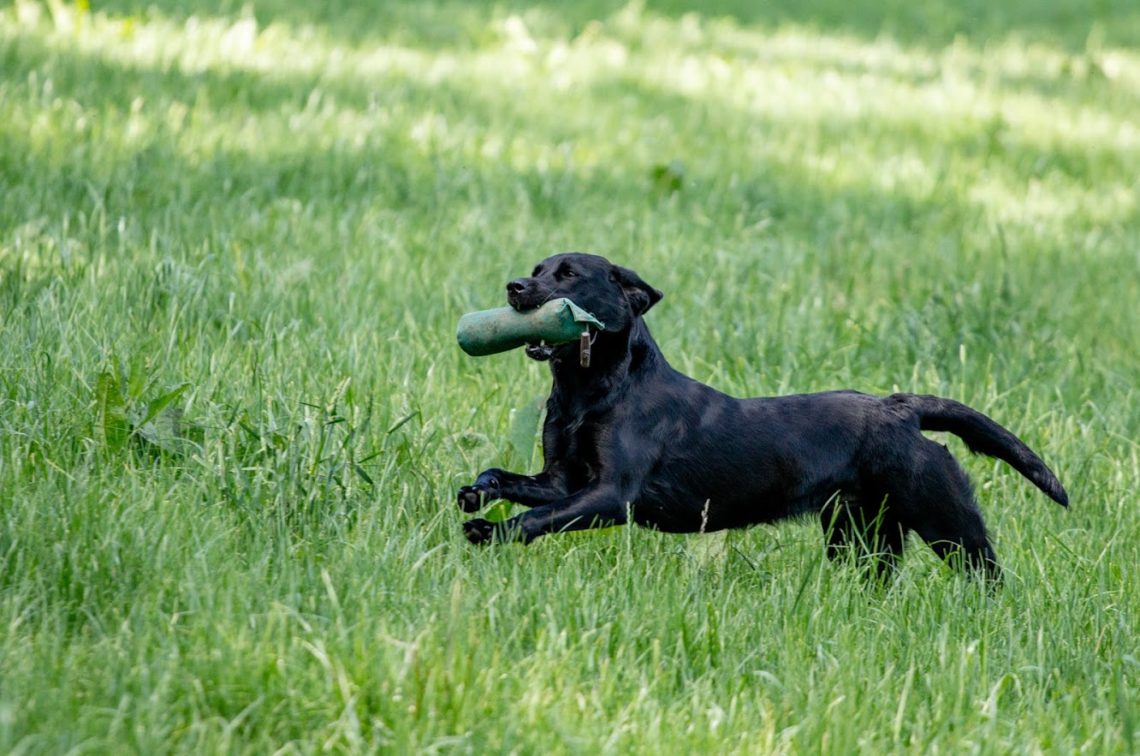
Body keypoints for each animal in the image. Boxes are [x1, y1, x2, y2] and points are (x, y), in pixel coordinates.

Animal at [456, 254, 1067, 579]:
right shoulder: (562, 478)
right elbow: (505, 478)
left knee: (987, 575)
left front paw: (490, 531)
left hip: (947, 522)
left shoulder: (611, 494)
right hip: (860, 535)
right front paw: (477, 493)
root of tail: (901, 407)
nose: (515, 287)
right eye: (536, 268)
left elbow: (536, 518)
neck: (590, 392)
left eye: (568, 274)